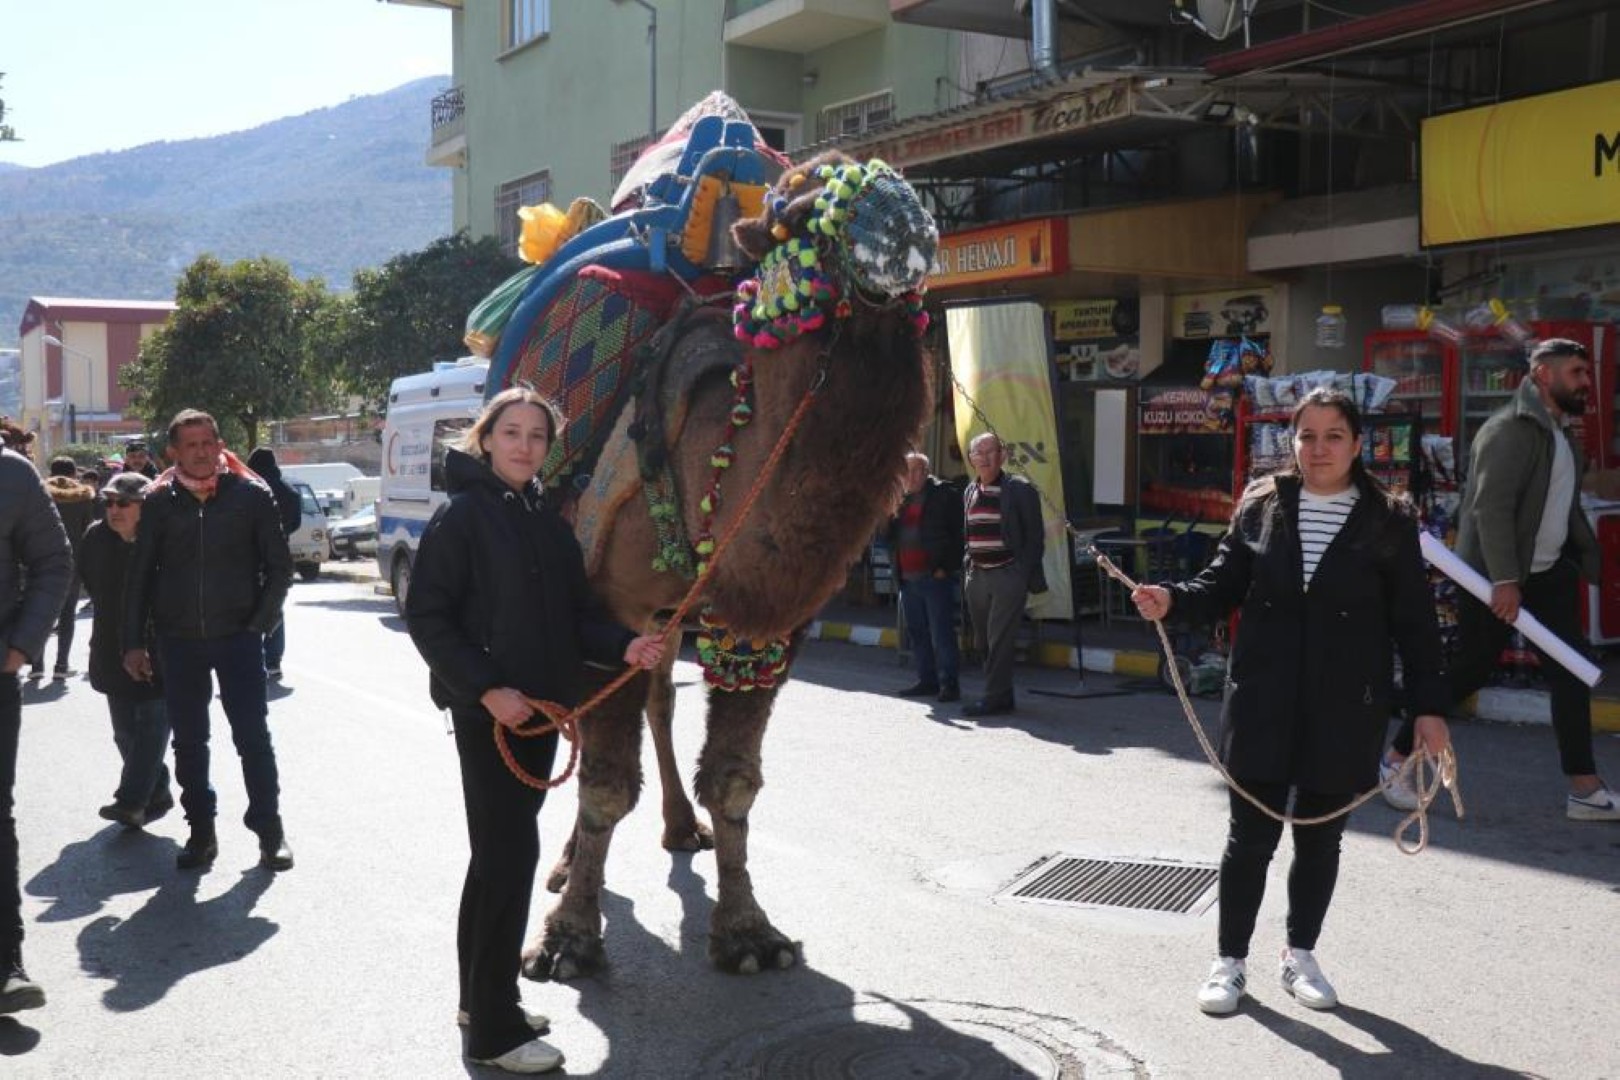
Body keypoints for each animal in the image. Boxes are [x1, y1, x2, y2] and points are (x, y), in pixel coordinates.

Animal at [466, 99, 939, 977]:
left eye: (905, 184)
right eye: (796, 208)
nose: (905, 221)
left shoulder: (767, 627)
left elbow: (735, 782)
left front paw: (749, 933)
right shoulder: (607, 604)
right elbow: (604, 784)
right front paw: (568, 942)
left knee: (654, 699)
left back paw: (679, 830)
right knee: (586, 723)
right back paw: (566, 868)